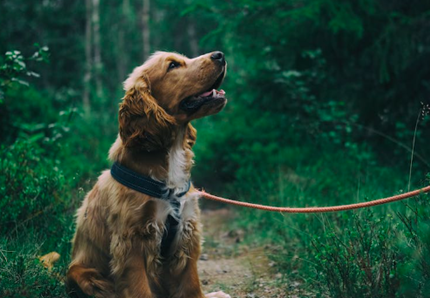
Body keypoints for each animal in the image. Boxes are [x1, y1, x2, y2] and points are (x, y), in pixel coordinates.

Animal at [65, 51, 230, 298]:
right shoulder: (132, 240)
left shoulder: (186, 231)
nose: (220, 54)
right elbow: (139, 288)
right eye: (173, 65)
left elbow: (191, 285)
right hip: (86, 276)